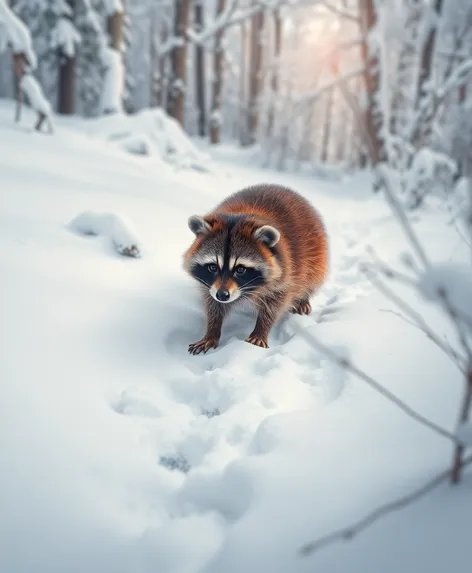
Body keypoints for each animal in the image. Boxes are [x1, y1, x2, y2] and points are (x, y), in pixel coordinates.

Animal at [183, 183, 328, 354]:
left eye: (240, 269)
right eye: (212, 267)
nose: (223, 295)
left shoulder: (286, 274)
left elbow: (274, 305)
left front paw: (261, 329)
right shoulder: (210, 285)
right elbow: (213, 304)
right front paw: (212, 330)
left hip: (316, 253)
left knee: (312, 276)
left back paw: (304, 297)